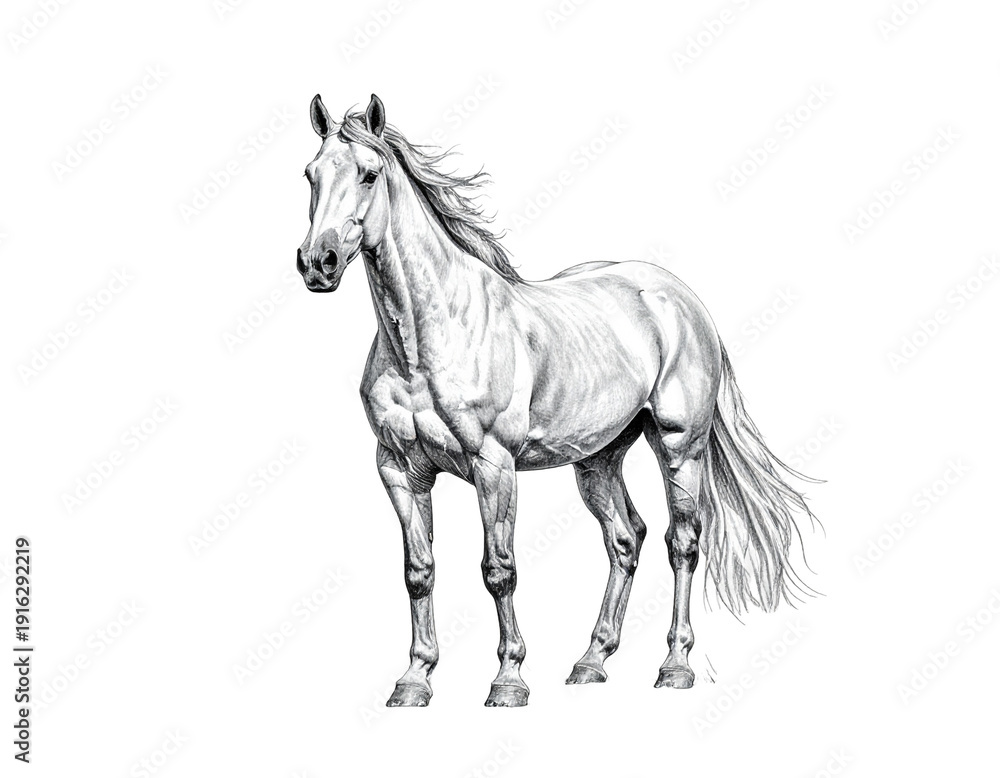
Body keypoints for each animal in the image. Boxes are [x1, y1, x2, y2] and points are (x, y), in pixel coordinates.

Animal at [296, 93, 817, 707]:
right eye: (310, 174)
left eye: (369, 174)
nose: (318, 262)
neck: (427, 339)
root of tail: (680, 299)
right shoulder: (400, 469)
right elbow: (418, 571)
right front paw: (414, 680)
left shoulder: (493, 466)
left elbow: (499, 569)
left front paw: (508, 680)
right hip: (597, 460)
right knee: (625, 539)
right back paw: (591, 661)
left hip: (679, 448)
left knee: (683, 543)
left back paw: (674, 666)